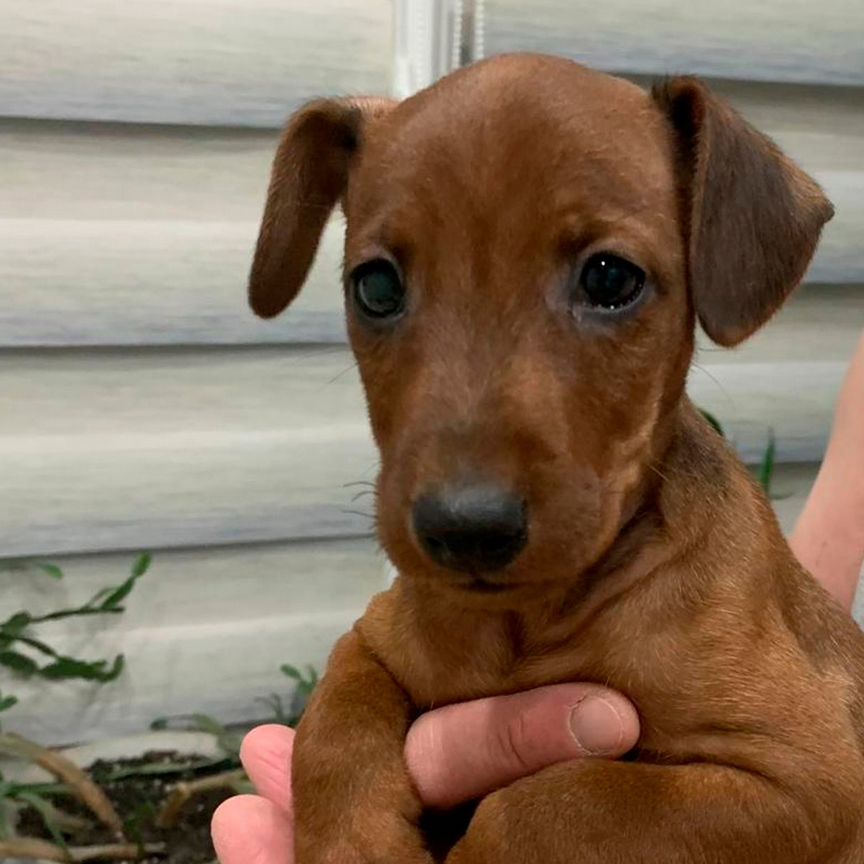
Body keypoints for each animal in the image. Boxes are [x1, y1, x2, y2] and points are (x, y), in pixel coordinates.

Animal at [246, 54, 864, 864]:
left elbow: (562, 800)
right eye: (374, 286)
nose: (466, 530)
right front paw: (353, 845)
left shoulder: (807, 773)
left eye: (609, 278)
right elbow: (332, 725)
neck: (531, 621)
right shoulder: (376, 640)